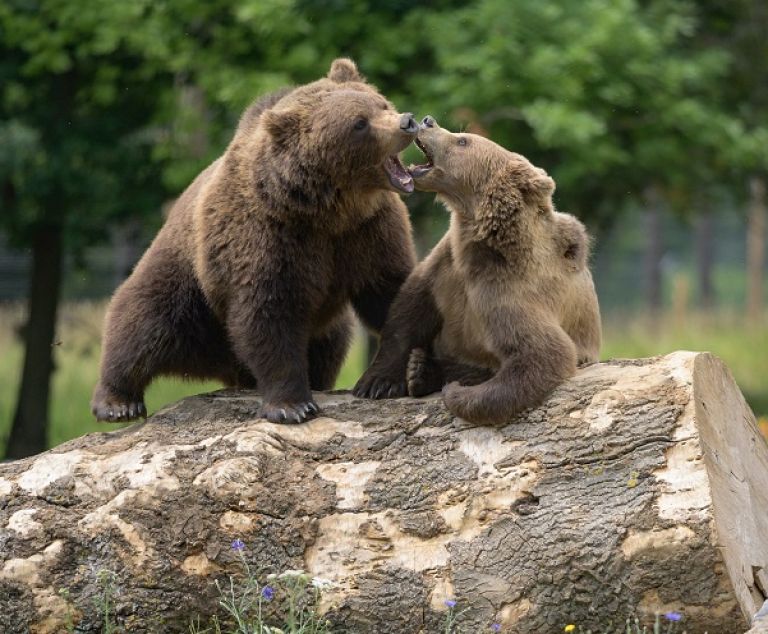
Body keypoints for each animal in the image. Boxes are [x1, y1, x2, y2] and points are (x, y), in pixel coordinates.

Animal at [94, 59, 420, 422]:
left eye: (381, 103)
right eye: (359, 123)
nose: (407, 121)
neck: (328, 210)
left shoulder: (369, 232)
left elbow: (392, 290)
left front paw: (387, 381)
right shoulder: (268, 236)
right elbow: (267, 314)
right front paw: (292, 405)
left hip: (324, 325)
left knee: (329, 346)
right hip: (188, 287)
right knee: (142, 322)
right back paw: (117, 402)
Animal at [352, 116, 600, 422]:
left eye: (462, 140)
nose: (427, 120)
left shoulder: (508, 287)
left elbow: (542, 352)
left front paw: (457, 393)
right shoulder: (445, 266)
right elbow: (407, 314)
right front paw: (376, 382)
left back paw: (424, 371)